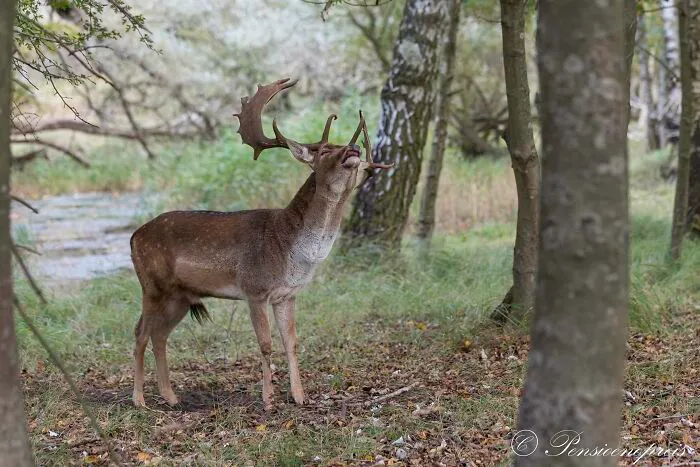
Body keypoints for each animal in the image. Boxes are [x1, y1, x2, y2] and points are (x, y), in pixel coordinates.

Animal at [130, 78, 392, 410]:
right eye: (323, 151)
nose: (353, 148)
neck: (290, 249)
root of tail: (133, 237)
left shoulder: (287, 294)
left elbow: (292, 343)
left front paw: (300, 397)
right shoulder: (254, 289)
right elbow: (266, 344)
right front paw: (268, 400)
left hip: (180, 296)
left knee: (159, 334)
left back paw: (171, 396)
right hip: (151, 284)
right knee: (140, 332)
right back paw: (139, 400)